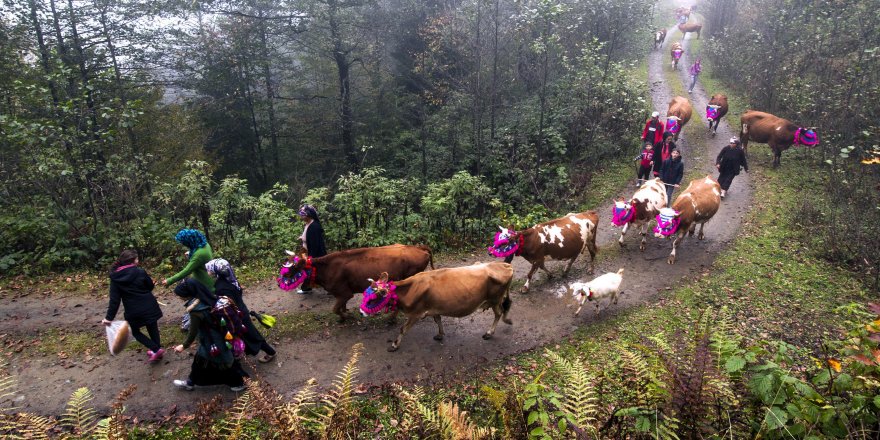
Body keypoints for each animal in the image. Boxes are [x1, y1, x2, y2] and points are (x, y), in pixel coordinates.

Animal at [286, 244, 434, 320]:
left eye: (295, 268)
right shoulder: (342, 294)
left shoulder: (344, 293)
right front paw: (346, 313)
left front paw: (345, 317)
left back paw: (392, 319)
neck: (327, 268)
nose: (285, 277)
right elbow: (341, 306)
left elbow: (335, 309)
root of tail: (418, 247)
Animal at [360, 262, 516, 352]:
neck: (409, 289)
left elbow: (403, 329)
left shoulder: (415, 314)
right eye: (364, 293)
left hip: (495, 299)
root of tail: (505, 265)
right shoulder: (433, 308)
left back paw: (489, 333)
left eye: (372, 299)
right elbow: (438, 320)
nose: (361, 312)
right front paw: (440, 334)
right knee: (504, 308)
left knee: (499, 313)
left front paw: (394, 345)